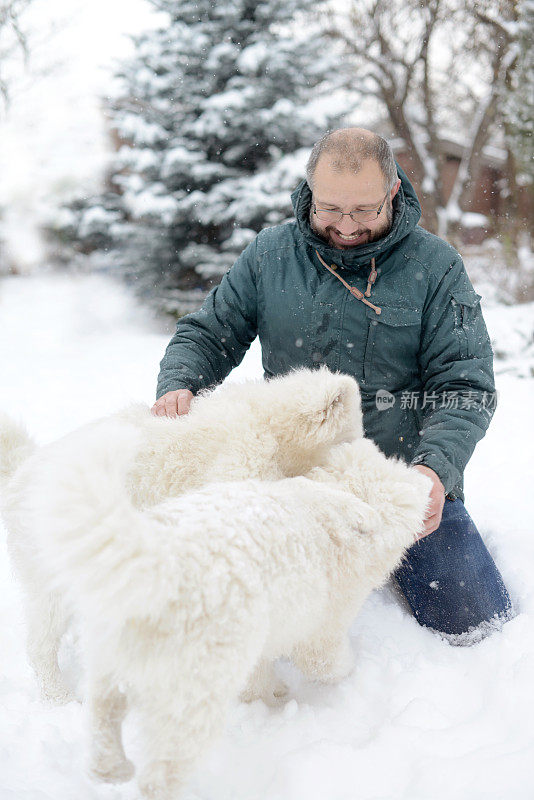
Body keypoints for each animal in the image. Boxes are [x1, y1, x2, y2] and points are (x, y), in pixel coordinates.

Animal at [0, 370, 434, 800]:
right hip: (54, 577)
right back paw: (59, 697)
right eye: (350, 438)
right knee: (41, 643)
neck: (272, 429)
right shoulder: (240, 467)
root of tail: (19, 476)